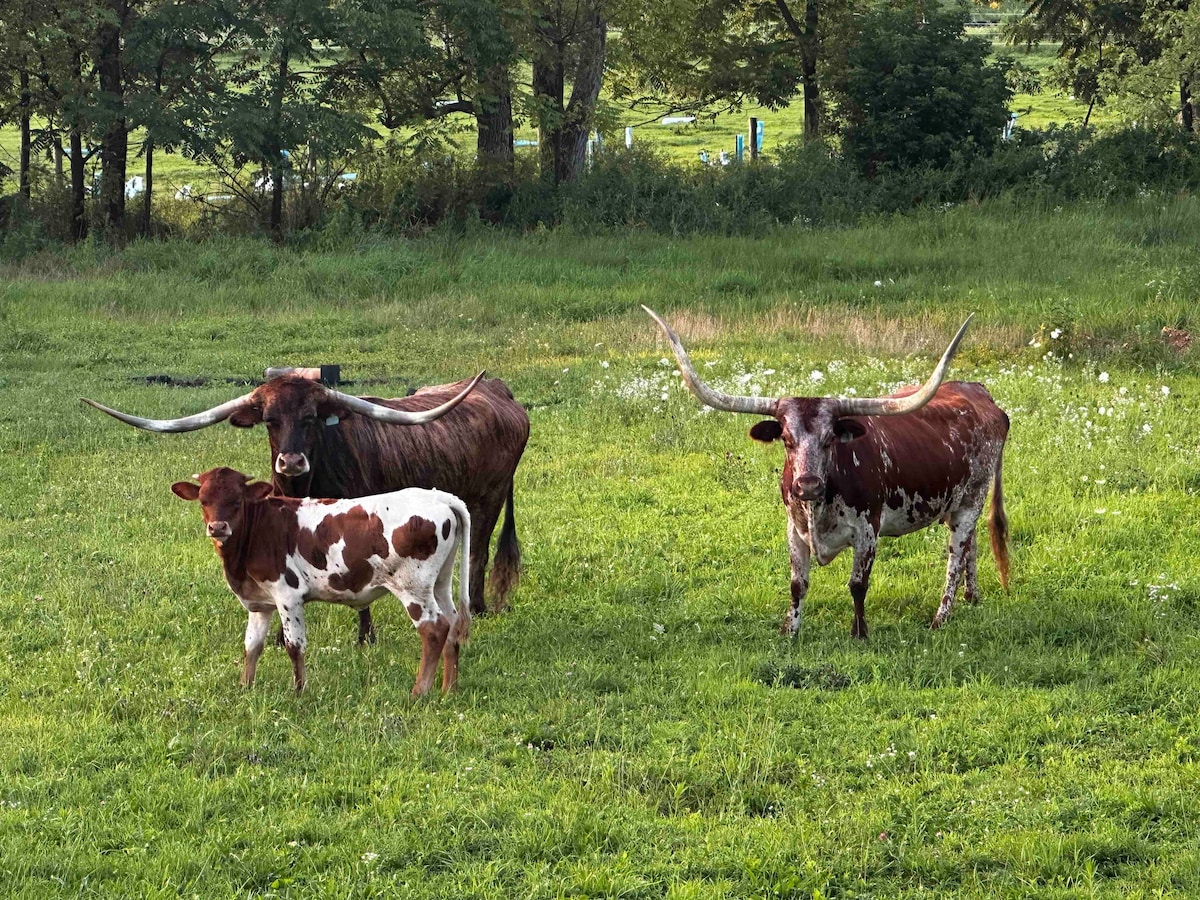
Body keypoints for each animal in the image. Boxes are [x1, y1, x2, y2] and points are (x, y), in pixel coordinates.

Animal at [84, 369, 530, 638]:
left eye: (311, 417)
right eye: (269, 420)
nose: (292, 461)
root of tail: (499, 389)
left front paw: (364, 638)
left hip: (488, 499)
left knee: (478, 553)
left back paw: (480, 609)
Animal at [175, 468, 472, 696]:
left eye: (237, 500)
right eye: (203, 500)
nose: (218, 527)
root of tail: (436, 495)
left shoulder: (288, 595)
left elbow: (294, 646)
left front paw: (299, 692)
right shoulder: (260, 604)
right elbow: (252, 646)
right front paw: (245, 687)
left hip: (412, 587)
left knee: (434, 629)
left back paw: (419, 692)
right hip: (440, 582)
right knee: (452, 623)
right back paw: (449, 689)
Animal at [643, 309, 1008, 643]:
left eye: (830, 438)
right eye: (786, 439)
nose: (808, 484)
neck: (820, 505)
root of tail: (980, 393)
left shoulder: (868, 531)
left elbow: (858, 584)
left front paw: (860, 634)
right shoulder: (794, 529)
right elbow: (797, 584)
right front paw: (790, 631)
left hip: (972, 500)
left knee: (956, 557)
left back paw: (941, 617)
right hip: (955, 505)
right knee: (970, 545)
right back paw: (972, 597)